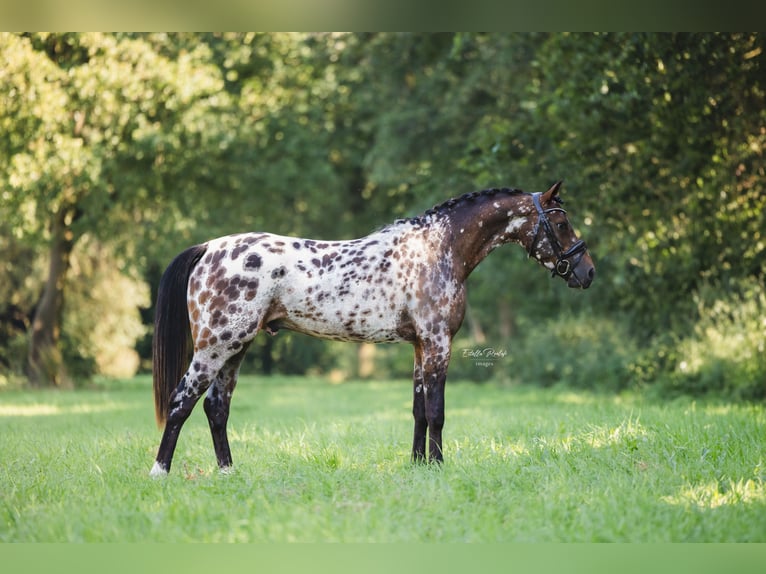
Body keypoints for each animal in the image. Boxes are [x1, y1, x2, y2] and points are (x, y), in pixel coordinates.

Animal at [148, 180, 592, 476]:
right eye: (562, 222)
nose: (587, 272)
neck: (439, 249)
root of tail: (209, 248)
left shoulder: (420, 347)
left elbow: (418, 410)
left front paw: (417, 466)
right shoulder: (437, 343)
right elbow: (437, 411)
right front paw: (438, 466)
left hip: (235, 349)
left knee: (216, 408)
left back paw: (228, 473)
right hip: (215, 347)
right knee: (181, 402)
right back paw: (160, 473)